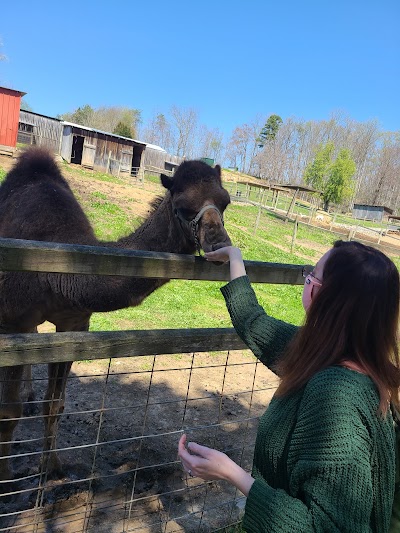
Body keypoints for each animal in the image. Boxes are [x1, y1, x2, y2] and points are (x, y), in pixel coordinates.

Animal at [0, 148, 231, 484]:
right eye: (182, 207)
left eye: (225, 201)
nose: (220, 244)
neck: (59, 273)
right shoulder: (10, 321)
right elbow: (8, 411)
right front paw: (7, 478)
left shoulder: (74, 324)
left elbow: (55, 404)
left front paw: (52, 469)